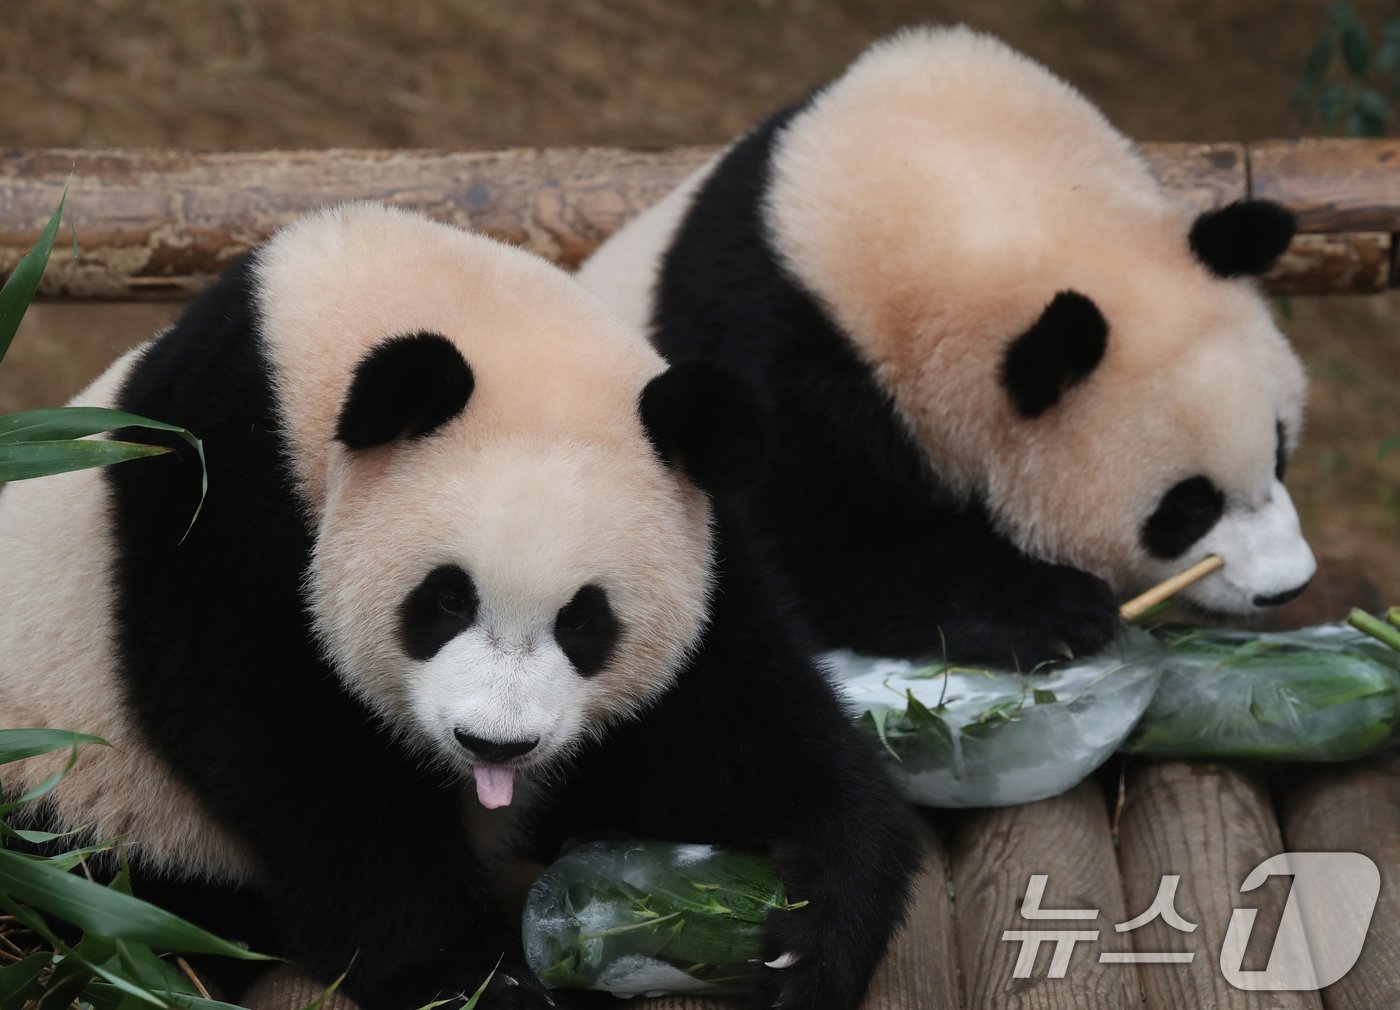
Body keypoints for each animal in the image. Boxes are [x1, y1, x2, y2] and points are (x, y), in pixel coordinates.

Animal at [0, 203, 918, 1008]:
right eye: (444, 600)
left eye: (584, 621)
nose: (496, 744)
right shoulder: (223, 488)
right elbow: (283, 742)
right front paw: (468, 973)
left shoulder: (704, 525)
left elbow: (729, 712)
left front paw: (813, 927)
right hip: (72, 795)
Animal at [576, 23, 1310, 666]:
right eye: (1188, 505)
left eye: (1278, 450)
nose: (1288, 586)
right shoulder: (772, 340)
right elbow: (815, 544)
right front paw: (1056, 610)